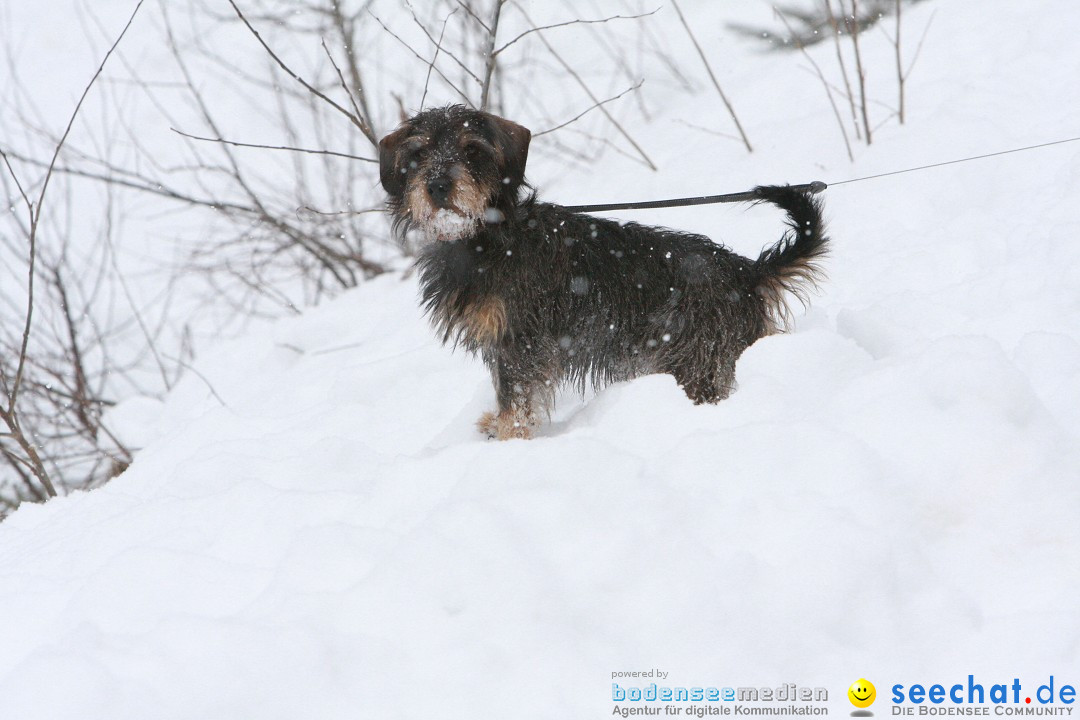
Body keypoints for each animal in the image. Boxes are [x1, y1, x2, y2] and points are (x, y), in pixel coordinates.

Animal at [380, 102, 825, 440]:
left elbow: (516, 396)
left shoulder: (520, 342)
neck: (487, 237)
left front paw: (508, 436)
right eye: (418, 154)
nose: (438, 186)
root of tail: (748, 273)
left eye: (472, 151)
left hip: (696, 358)